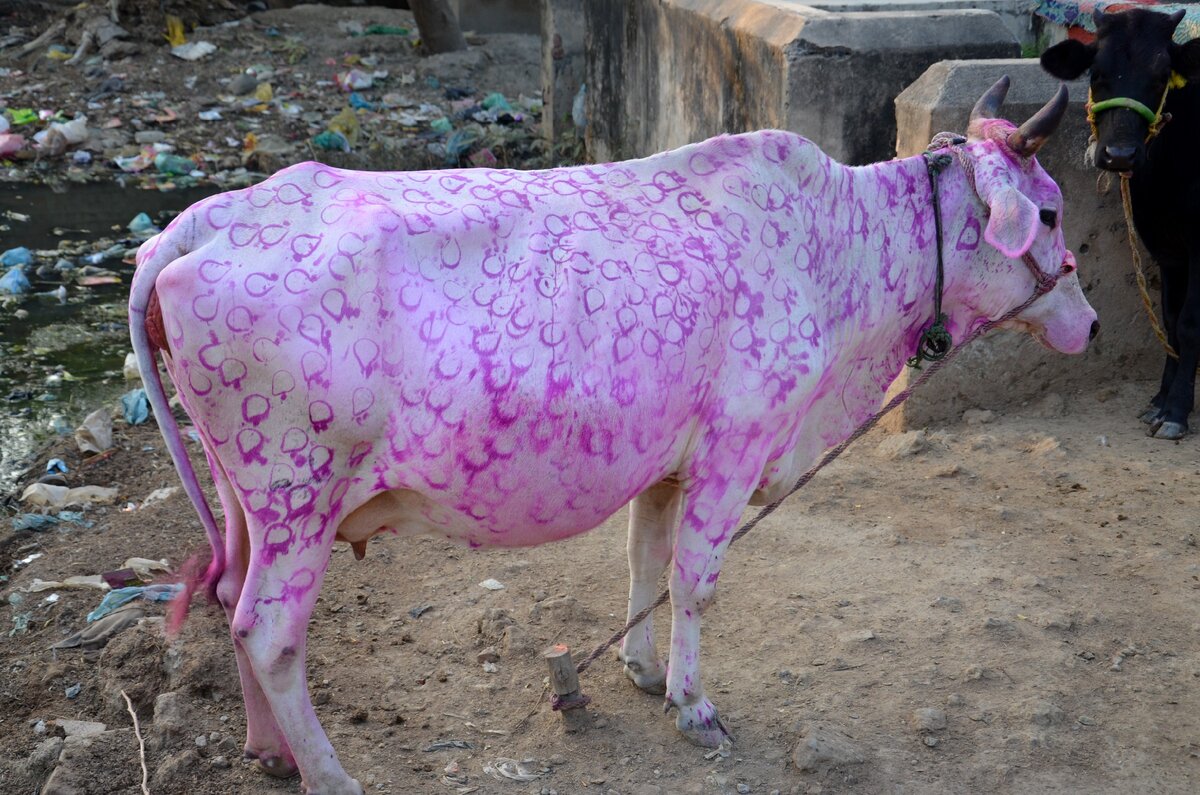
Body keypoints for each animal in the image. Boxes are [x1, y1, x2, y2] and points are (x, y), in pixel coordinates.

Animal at [129, 76, 1099, 795]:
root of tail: (203, 219)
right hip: (300, 489)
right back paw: (329, 773)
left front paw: (637, 666)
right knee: (268, 630)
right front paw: (692, 701)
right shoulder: (737, 444)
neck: (836, 252)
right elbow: (696, 580)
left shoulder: (668, 460)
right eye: (1051, 213)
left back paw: (270, 750)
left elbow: (647, 560)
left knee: (229, 597)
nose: (1089, 322)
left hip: (247, 496)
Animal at [1041, 7, 1200, 441]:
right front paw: (1160, 402)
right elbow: (1169, 321)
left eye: (1161, 76)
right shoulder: (1168, 252)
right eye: (1096, 73)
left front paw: (1177, 412)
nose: (1120, 155)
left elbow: (1188, 326)